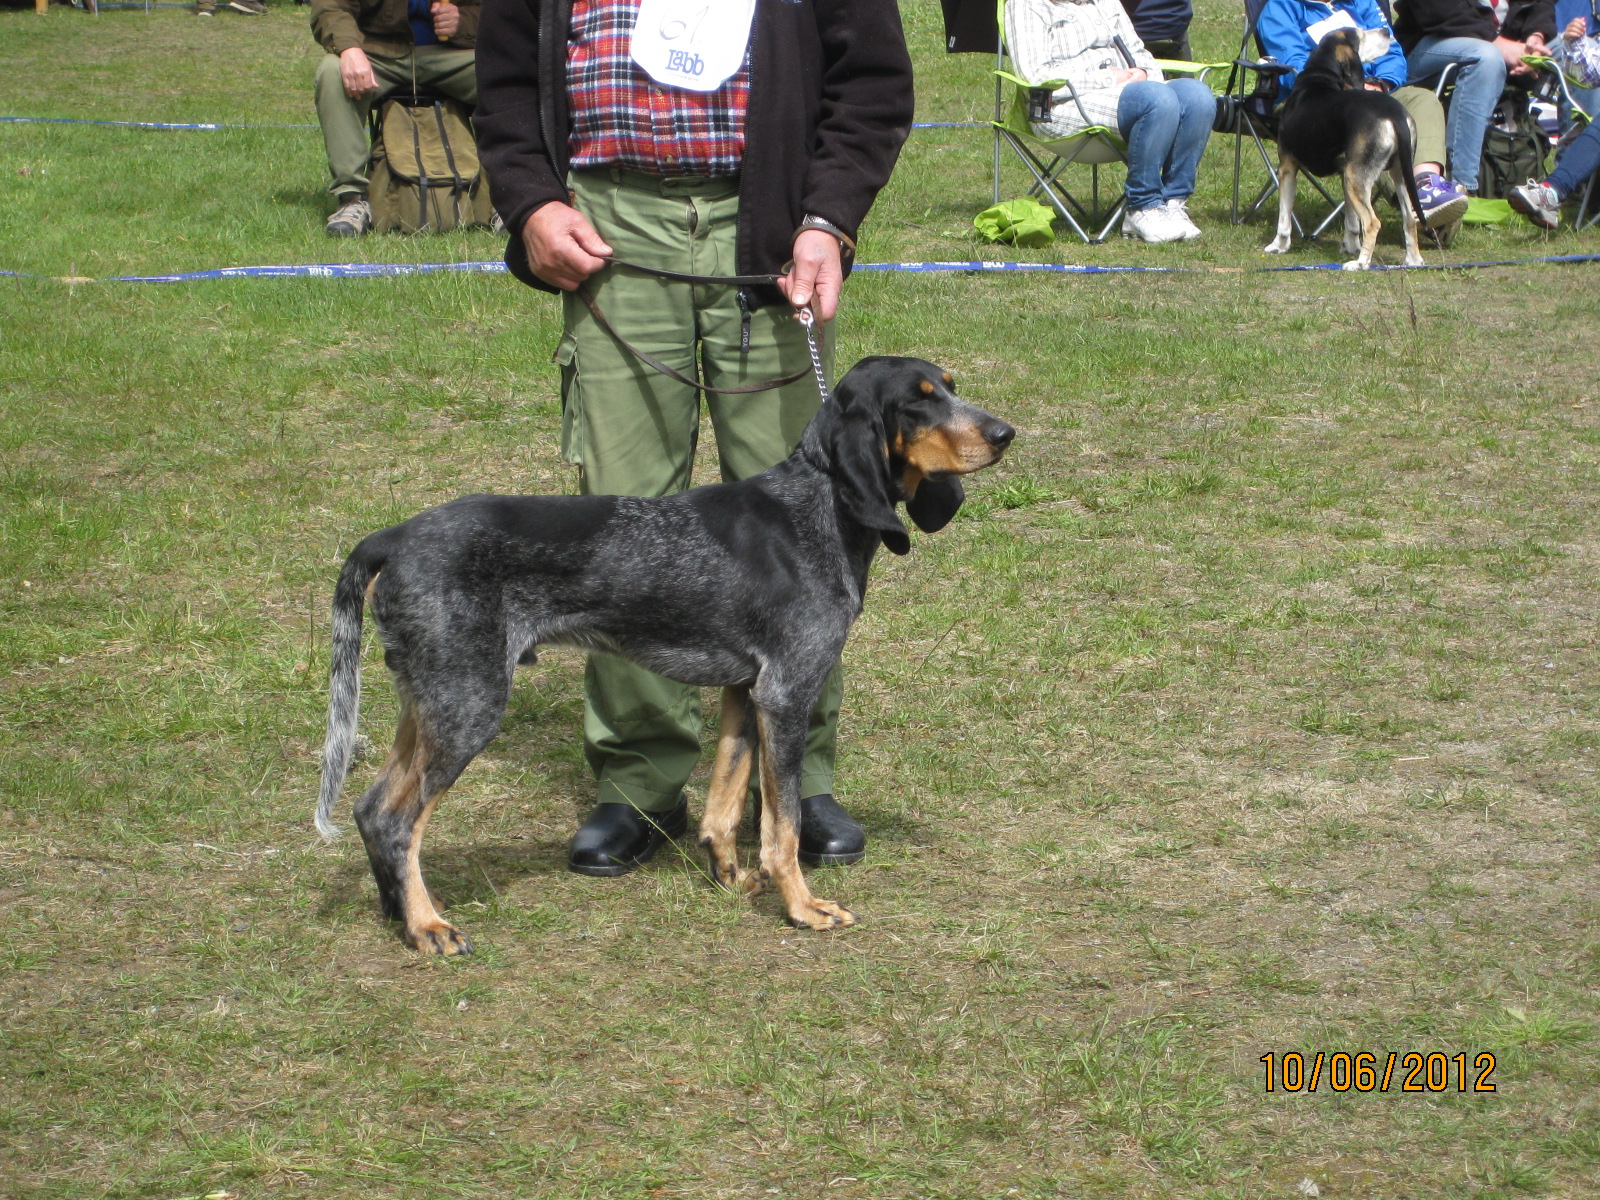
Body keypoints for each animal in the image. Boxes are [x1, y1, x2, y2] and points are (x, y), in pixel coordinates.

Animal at [314, 357, 1015, 954]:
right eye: (917, 403)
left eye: (950, 386)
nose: (1005, 434)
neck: (817, 505)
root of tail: (393, 537)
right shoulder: (787, 692)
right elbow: (782, 824)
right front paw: (802, 907)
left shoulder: (746, 690)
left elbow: (725, 803)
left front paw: (729, 879)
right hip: (469, 706)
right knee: (397, 820)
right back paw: (428, 925)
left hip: (430, 700)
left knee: (370, 809)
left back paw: (399, 913)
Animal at [1263, 27, 1426, 270]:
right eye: (1362, 35)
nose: (1386, 30)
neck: (1318, 79)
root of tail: (1393, 113)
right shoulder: (1343, 172)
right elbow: (1351, 221)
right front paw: (1350, 245)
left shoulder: (1287, 168)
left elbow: (1284, 216)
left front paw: (1278, 245)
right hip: (1395, 175)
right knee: (1409, 218)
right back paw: (1413, 260)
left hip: (1356, 177)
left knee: (1372, 223)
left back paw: (1361, 264)